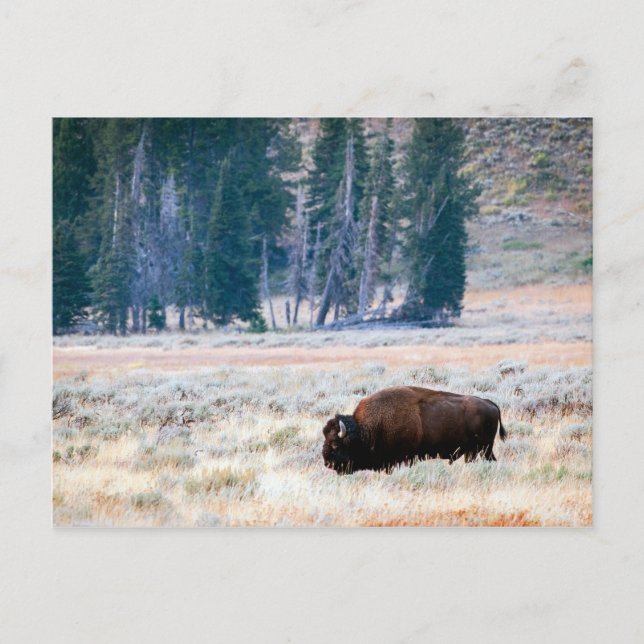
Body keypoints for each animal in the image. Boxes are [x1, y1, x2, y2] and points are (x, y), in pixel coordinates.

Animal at [322, 386, 506, 474]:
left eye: (336, 444)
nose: (327, 463)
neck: (366, 429)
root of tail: (490, 403)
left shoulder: (402, 458)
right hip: (477, 451)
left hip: (483, 448)